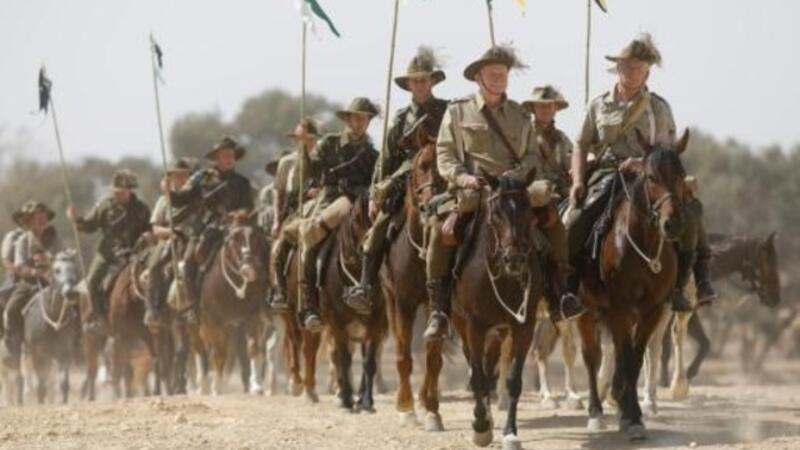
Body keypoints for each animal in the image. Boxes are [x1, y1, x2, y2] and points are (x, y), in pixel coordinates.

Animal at [21, 250, 81, 404]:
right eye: (57, 270)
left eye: (73, 269)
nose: (71, 292)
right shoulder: (37, 354)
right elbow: (40, 385)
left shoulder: (64, 352)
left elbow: (63, 382)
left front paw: (64, 401)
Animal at [197, 214, 270, 395]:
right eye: (234, 239)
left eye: (256, 237)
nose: (249, 268)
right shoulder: (213, 321)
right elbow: (218, 352)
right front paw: (216, 387)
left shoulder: (252, 316)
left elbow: (253, 347)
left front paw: (256, 385)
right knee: (207, 349)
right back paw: (206, 384)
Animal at [452, 167, 543, 449]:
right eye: (496, 214)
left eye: (528, 211)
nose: (514, 260)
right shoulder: (474, 325)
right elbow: (479, 377)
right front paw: (481, 426)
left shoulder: (524, 325)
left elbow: (513, 380)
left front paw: (510, 431)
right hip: (462, 323)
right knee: (476, 366)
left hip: (499, 329)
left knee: (489, 362)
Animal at [576, 130, 690, 441]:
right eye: (650, 176)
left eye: (681, 174)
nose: (672, 224)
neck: (643, 245)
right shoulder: (619, 308)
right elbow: (625, 357)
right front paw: (629, 414)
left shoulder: (652, 309)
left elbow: (635, 359)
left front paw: (632, 415)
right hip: (585, 310)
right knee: (591, 356)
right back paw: (595, 412)